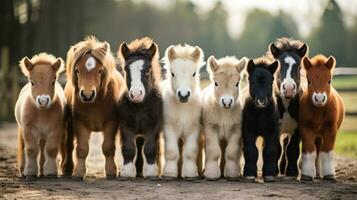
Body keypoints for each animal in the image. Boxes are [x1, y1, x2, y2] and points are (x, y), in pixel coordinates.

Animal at [15, 52, 66, 180]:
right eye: (32, 82)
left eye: (53, 81)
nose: (43, 101)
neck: (41, 113)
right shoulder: (28, 129)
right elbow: (31, 149)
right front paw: (30, 173)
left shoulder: (55, 129)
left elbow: (51, 149)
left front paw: (51, 172)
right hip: (22, 130)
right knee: (24, 147)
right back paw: (22, 171)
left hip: (43, 135)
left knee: (43, 148)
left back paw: (42, 171)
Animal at [62, 36, 126, 180]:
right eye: (77, 70)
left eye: (100, 71)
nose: (87, 95)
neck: (96, 103)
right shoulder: (80, 123)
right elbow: (82, 148)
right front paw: (78, 172)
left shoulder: (111, 123)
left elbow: (108, 147)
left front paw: (111, 171)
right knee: (68, 145)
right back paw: (67, 168)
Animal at [116, 36, 162, 179]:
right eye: (126, 69)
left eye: (147, 70)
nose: (136, 94)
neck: (140, 106)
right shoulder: (125, 126)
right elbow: (128, 148)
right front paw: (126, 172)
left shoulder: (153, 127)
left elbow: (150, 148)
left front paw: (152, 172)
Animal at [161, 44, 204, 180]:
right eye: (172, 73)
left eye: (194, 73)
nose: (183, 95)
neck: (183, 108)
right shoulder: (169, 128)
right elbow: (171, 151)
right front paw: (170, 173)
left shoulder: (193, 129)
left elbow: (190, 151)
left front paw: (190, 173)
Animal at [268, 37, 308, 178]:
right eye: (279, 66)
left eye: (300, 66)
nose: (289, 89)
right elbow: (277, 148)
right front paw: (273, 170)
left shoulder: (298, 128)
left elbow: (292, 149)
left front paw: (291, 171)